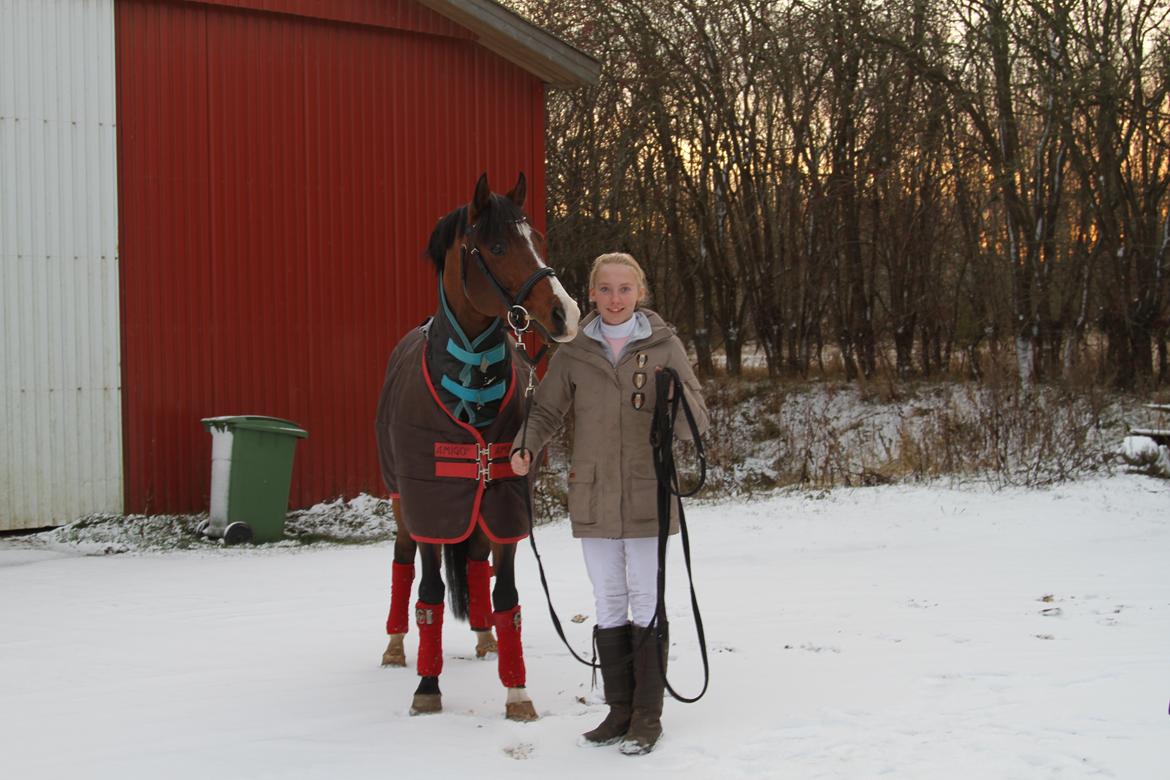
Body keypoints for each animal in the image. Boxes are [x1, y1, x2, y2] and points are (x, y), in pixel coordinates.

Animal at [374, 171, 580, 720]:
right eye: (498, 246)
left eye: (538, 240)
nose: (566, 313)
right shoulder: (431, 507)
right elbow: (428, 593)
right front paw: (427, 687)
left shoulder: (506, 505)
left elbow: (507, 596)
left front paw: (517, 693)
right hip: (403, 504)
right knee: (403, 565)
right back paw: (394, 646)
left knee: (476, 560)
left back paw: (486, 637)